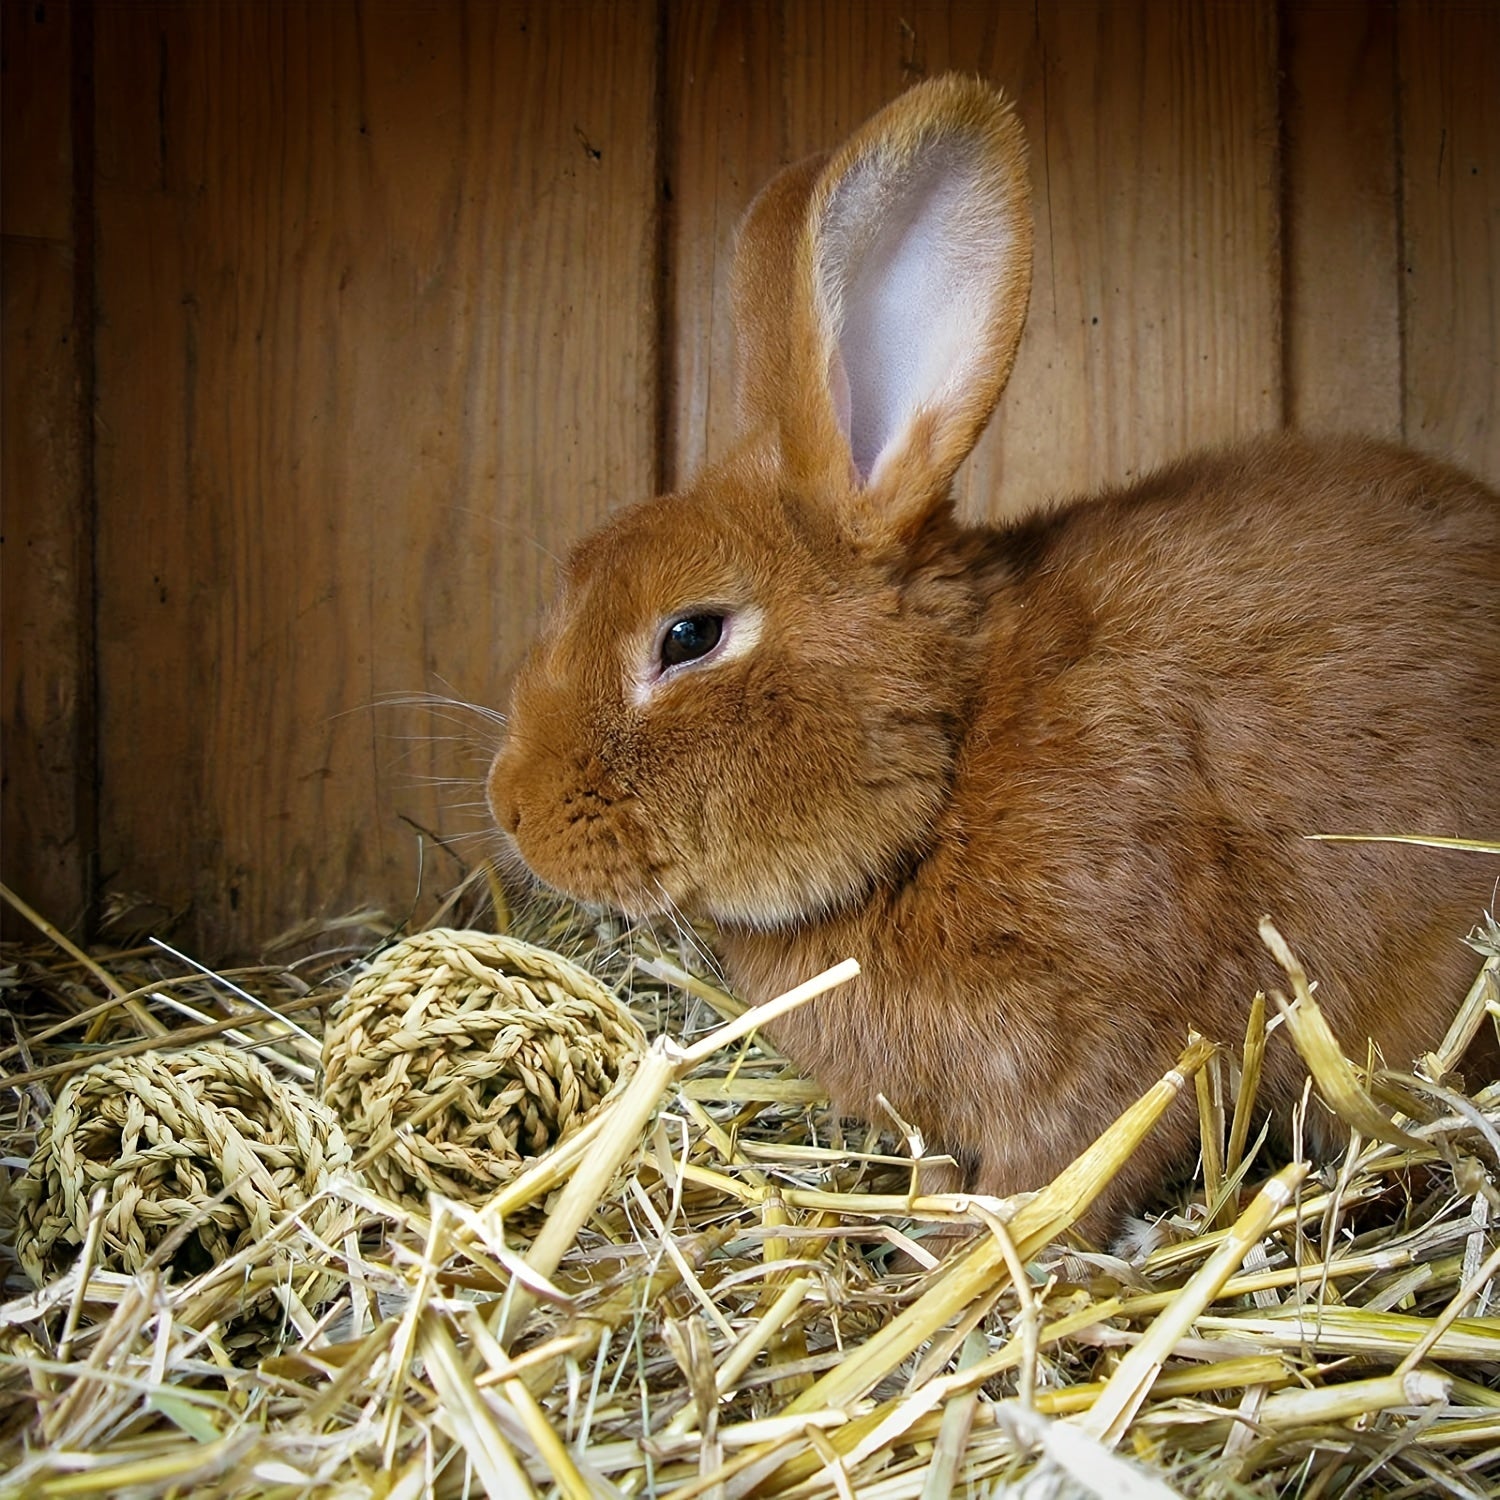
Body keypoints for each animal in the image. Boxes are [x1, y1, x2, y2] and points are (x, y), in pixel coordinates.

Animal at [492, 76, 1500, 1236]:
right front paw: (924, 1219)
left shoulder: (1117, 1043)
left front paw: (986, 1246)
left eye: (689, 635)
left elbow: (1066, 1166)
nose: (511, 810)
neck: (953, 754)